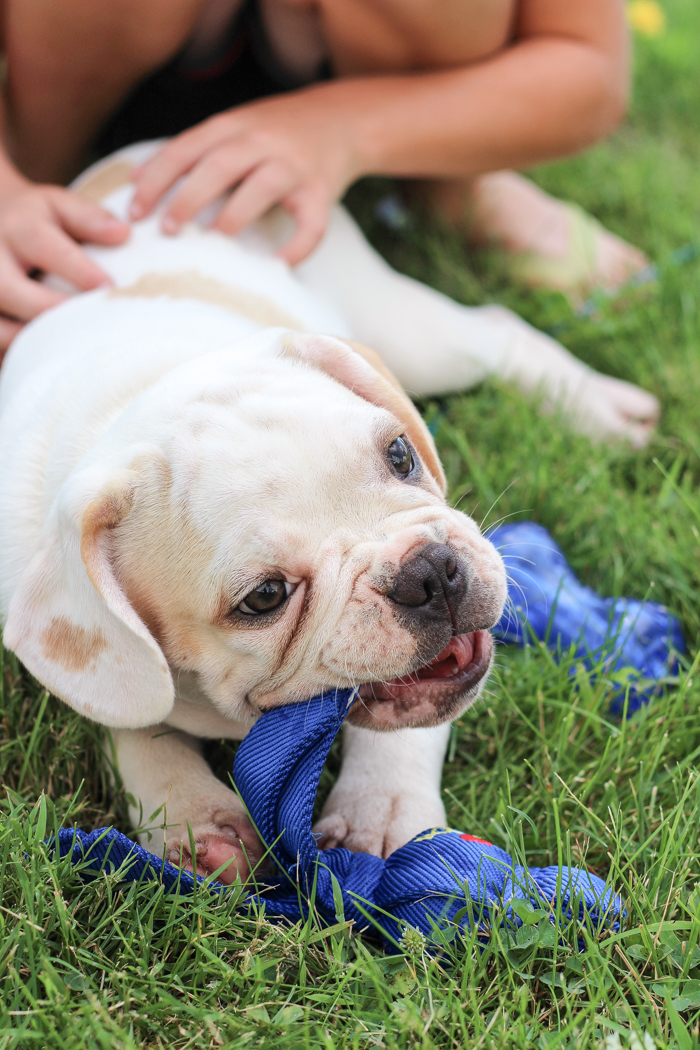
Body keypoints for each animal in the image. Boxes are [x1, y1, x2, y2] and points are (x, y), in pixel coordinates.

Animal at [0, 143, 659, 881]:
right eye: (265, 598)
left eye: (400, 454)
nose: (430, 573)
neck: (130, 404)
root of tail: (142, 158)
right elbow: (134, 720)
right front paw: (191, 818)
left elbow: (406, 734)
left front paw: (382, 814)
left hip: (404, 330)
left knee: (494, 330)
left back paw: (601, 408)